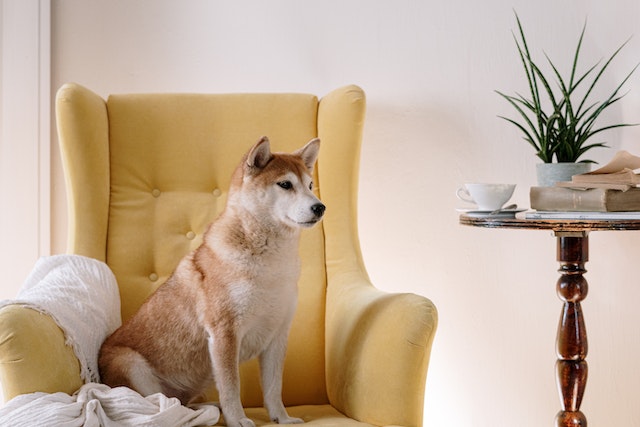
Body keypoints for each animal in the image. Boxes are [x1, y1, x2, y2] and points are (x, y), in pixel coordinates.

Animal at [99, 137, 324, 427]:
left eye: (310, 185)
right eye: (285, 184)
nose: (320, 207)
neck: (270, 264)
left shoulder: (277, 336)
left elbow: (274, 388)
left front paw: (282, 419)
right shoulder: (224, 333)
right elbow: (231, 386)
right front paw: (237, 419)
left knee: (180, 404)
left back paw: (206, 408)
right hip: (129, 363)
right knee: (156, 406)